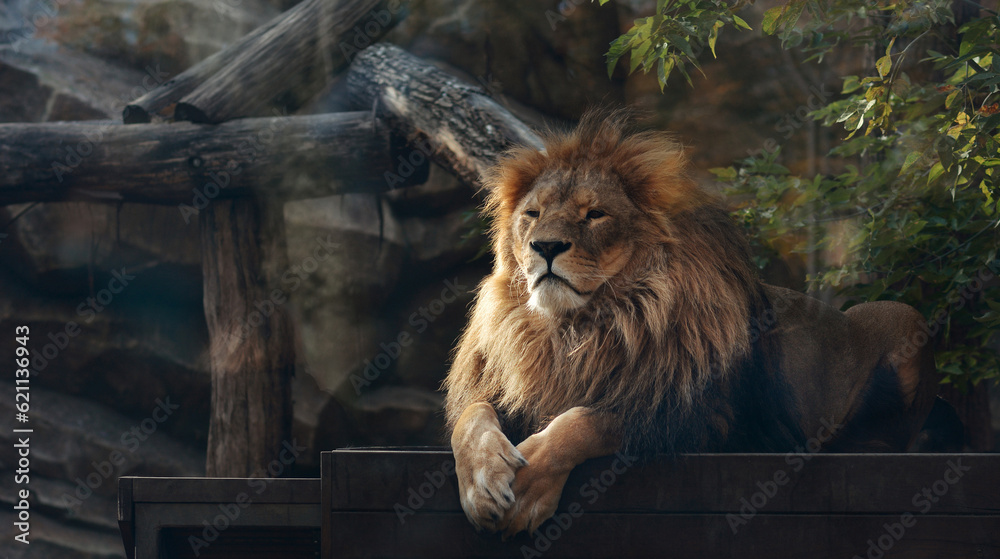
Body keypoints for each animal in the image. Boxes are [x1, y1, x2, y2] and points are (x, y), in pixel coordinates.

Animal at [443, 110, 940, 537]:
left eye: (595, 214)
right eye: (532, 215)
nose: (545, 246)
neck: (586, 326)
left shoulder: (710, 420)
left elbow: (589, 420)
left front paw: (529, 487)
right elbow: (470, 416)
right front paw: (482, 483)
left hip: (904, 316)